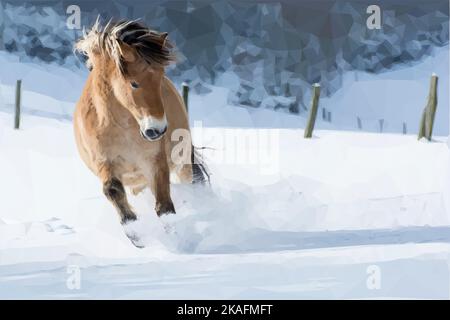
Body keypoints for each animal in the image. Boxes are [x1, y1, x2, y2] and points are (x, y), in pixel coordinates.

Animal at [73, 19, 206, 235]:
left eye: (160, 79)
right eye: (134, 84)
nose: (157, 130)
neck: (121, 127)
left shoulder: (155, 162)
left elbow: (165, 208)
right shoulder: (104, 163)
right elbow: (113, 191)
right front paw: (134, 231)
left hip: (183, 162)